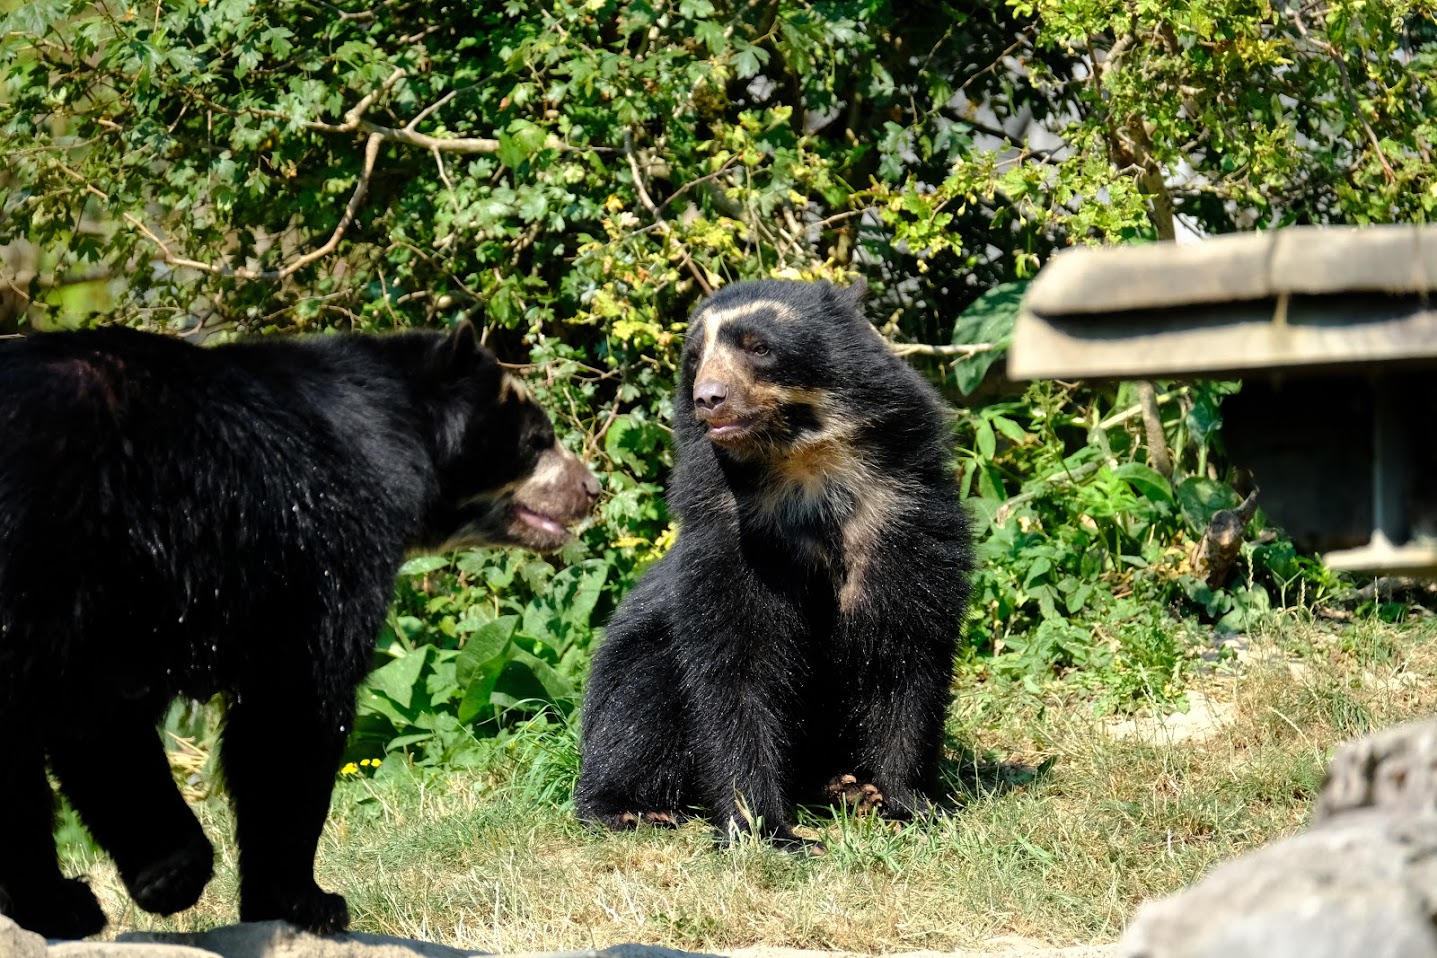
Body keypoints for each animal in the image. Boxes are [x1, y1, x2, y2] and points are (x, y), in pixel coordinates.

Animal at [0, 322, 599, 939]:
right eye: (538, 439)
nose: (592, 488)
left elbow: (104, 723)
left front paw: (167, 875)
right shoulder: (310, 542)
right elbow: (295, 710)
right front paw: (303, 900)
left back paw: (56, 904)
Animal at [575, 279, 972, 848]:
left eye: (758, 347)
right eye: (696, 359)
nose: (708, 398)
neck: (804, 472)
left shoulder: (905, 518)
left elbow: (905, 649)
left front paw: (910, 804)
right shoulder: (729, 537)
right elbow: (737, 666)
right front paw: (769, 831)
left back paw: (848, 787)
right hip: (627, 675)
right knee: (637, 709)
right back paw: (631, 810)